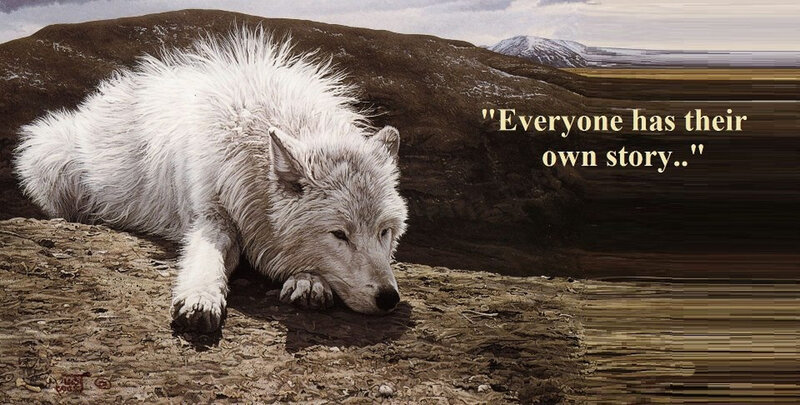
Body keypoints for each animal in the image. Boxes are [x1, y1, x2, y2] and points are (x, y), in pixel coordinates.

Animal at [14, 28, 408, 332]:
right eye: (339, 235)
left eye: (384, 232)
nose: (389, 298)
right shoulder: (212, 216)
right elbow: (207, 256)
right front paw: (200, 298)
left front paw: (308, 281)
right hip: (52, 156)